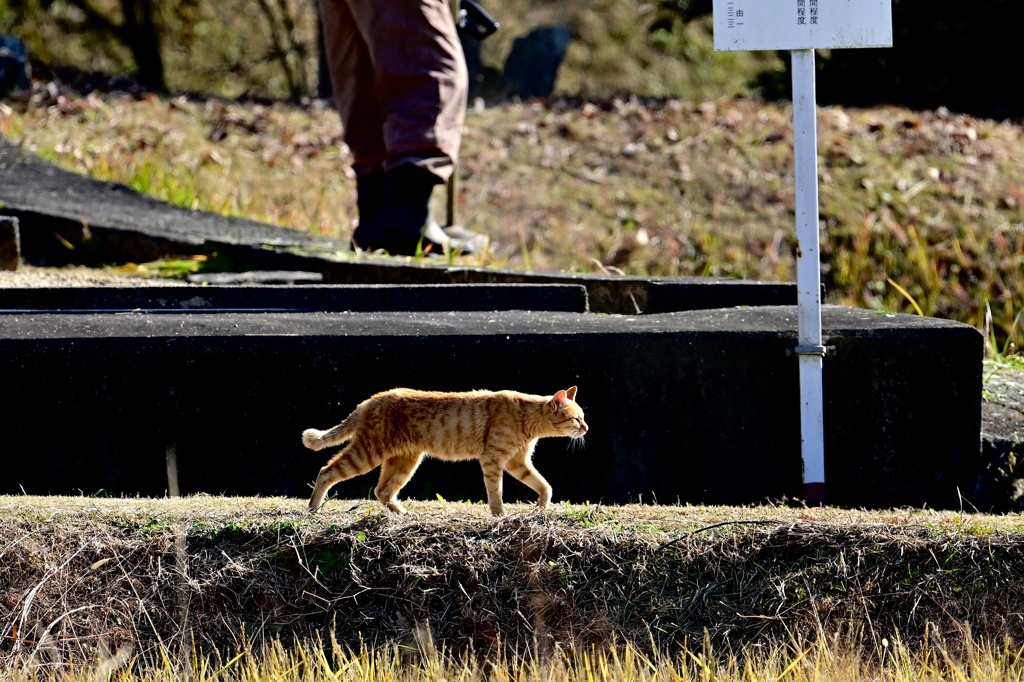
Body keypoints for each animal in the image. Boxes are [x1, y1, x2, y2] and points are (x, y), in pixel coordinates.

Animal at [301, 385, 585, 512]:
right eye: (575, 419)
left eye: (582, 417)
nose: (587, 428)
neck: (526, 417)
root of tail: (367, 402)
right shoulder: (493, 460)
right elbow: (496, 492)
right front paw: (499, 515)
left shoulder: (519, 463)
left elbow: (544, 485)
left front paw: (541, 506)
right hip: (367, 454)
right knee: (327, 471)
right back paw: (314, 507)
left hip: (405, 461)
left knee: (382, 490)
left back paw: (402, 513)